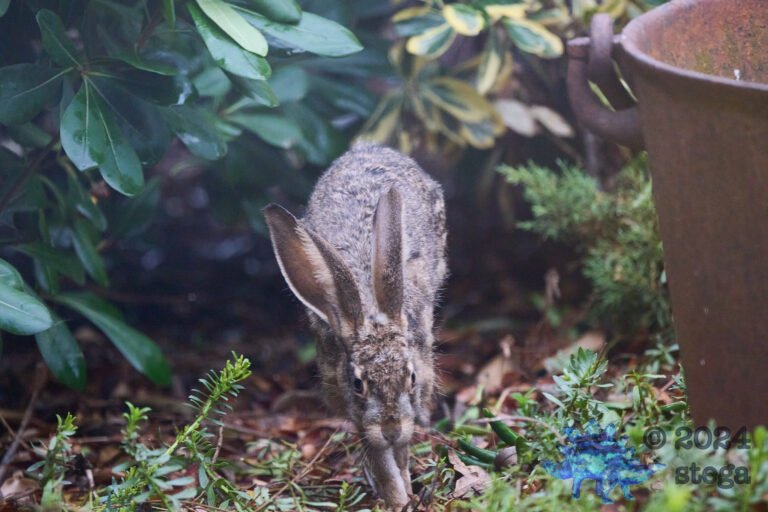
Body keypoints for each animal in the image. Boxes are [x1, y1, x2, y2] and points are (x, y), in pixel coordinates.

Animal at [263, 142, 447, 509]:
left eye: (411, 377)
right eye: (357, 383)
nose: (390, 429)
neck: (370, 311)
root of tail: (370, 148)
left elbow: (400, 450)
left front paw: (405, 491)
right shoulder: (354, 407)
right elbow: (379, 454)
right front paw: (395, 497)